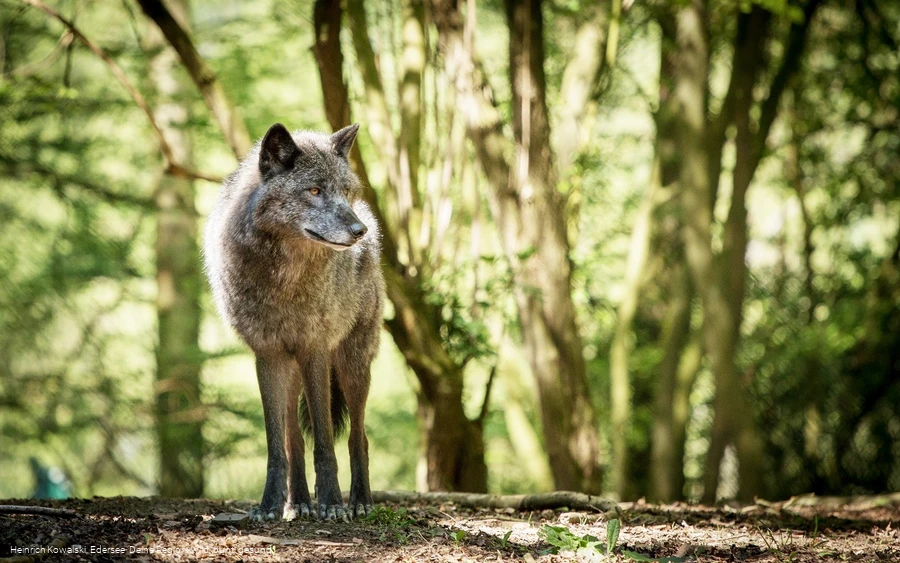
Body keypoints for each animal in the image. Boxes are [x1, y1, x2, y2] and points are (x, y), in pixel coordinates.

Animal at [203, 122, 383, 521]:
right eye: (314, 190)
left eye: (345, 192)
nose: (359, 230)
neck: (284, 279)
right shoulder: (268, 355)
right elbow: (277, 445)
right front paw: (270, 504)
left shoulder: (315, 349)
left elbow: (326, 443)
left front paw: (331, 504)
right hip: (292, 369)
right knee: (294, 439)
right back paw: (297, 502)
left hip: (351, 365)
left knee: (359, 436)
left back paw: (360, 501)